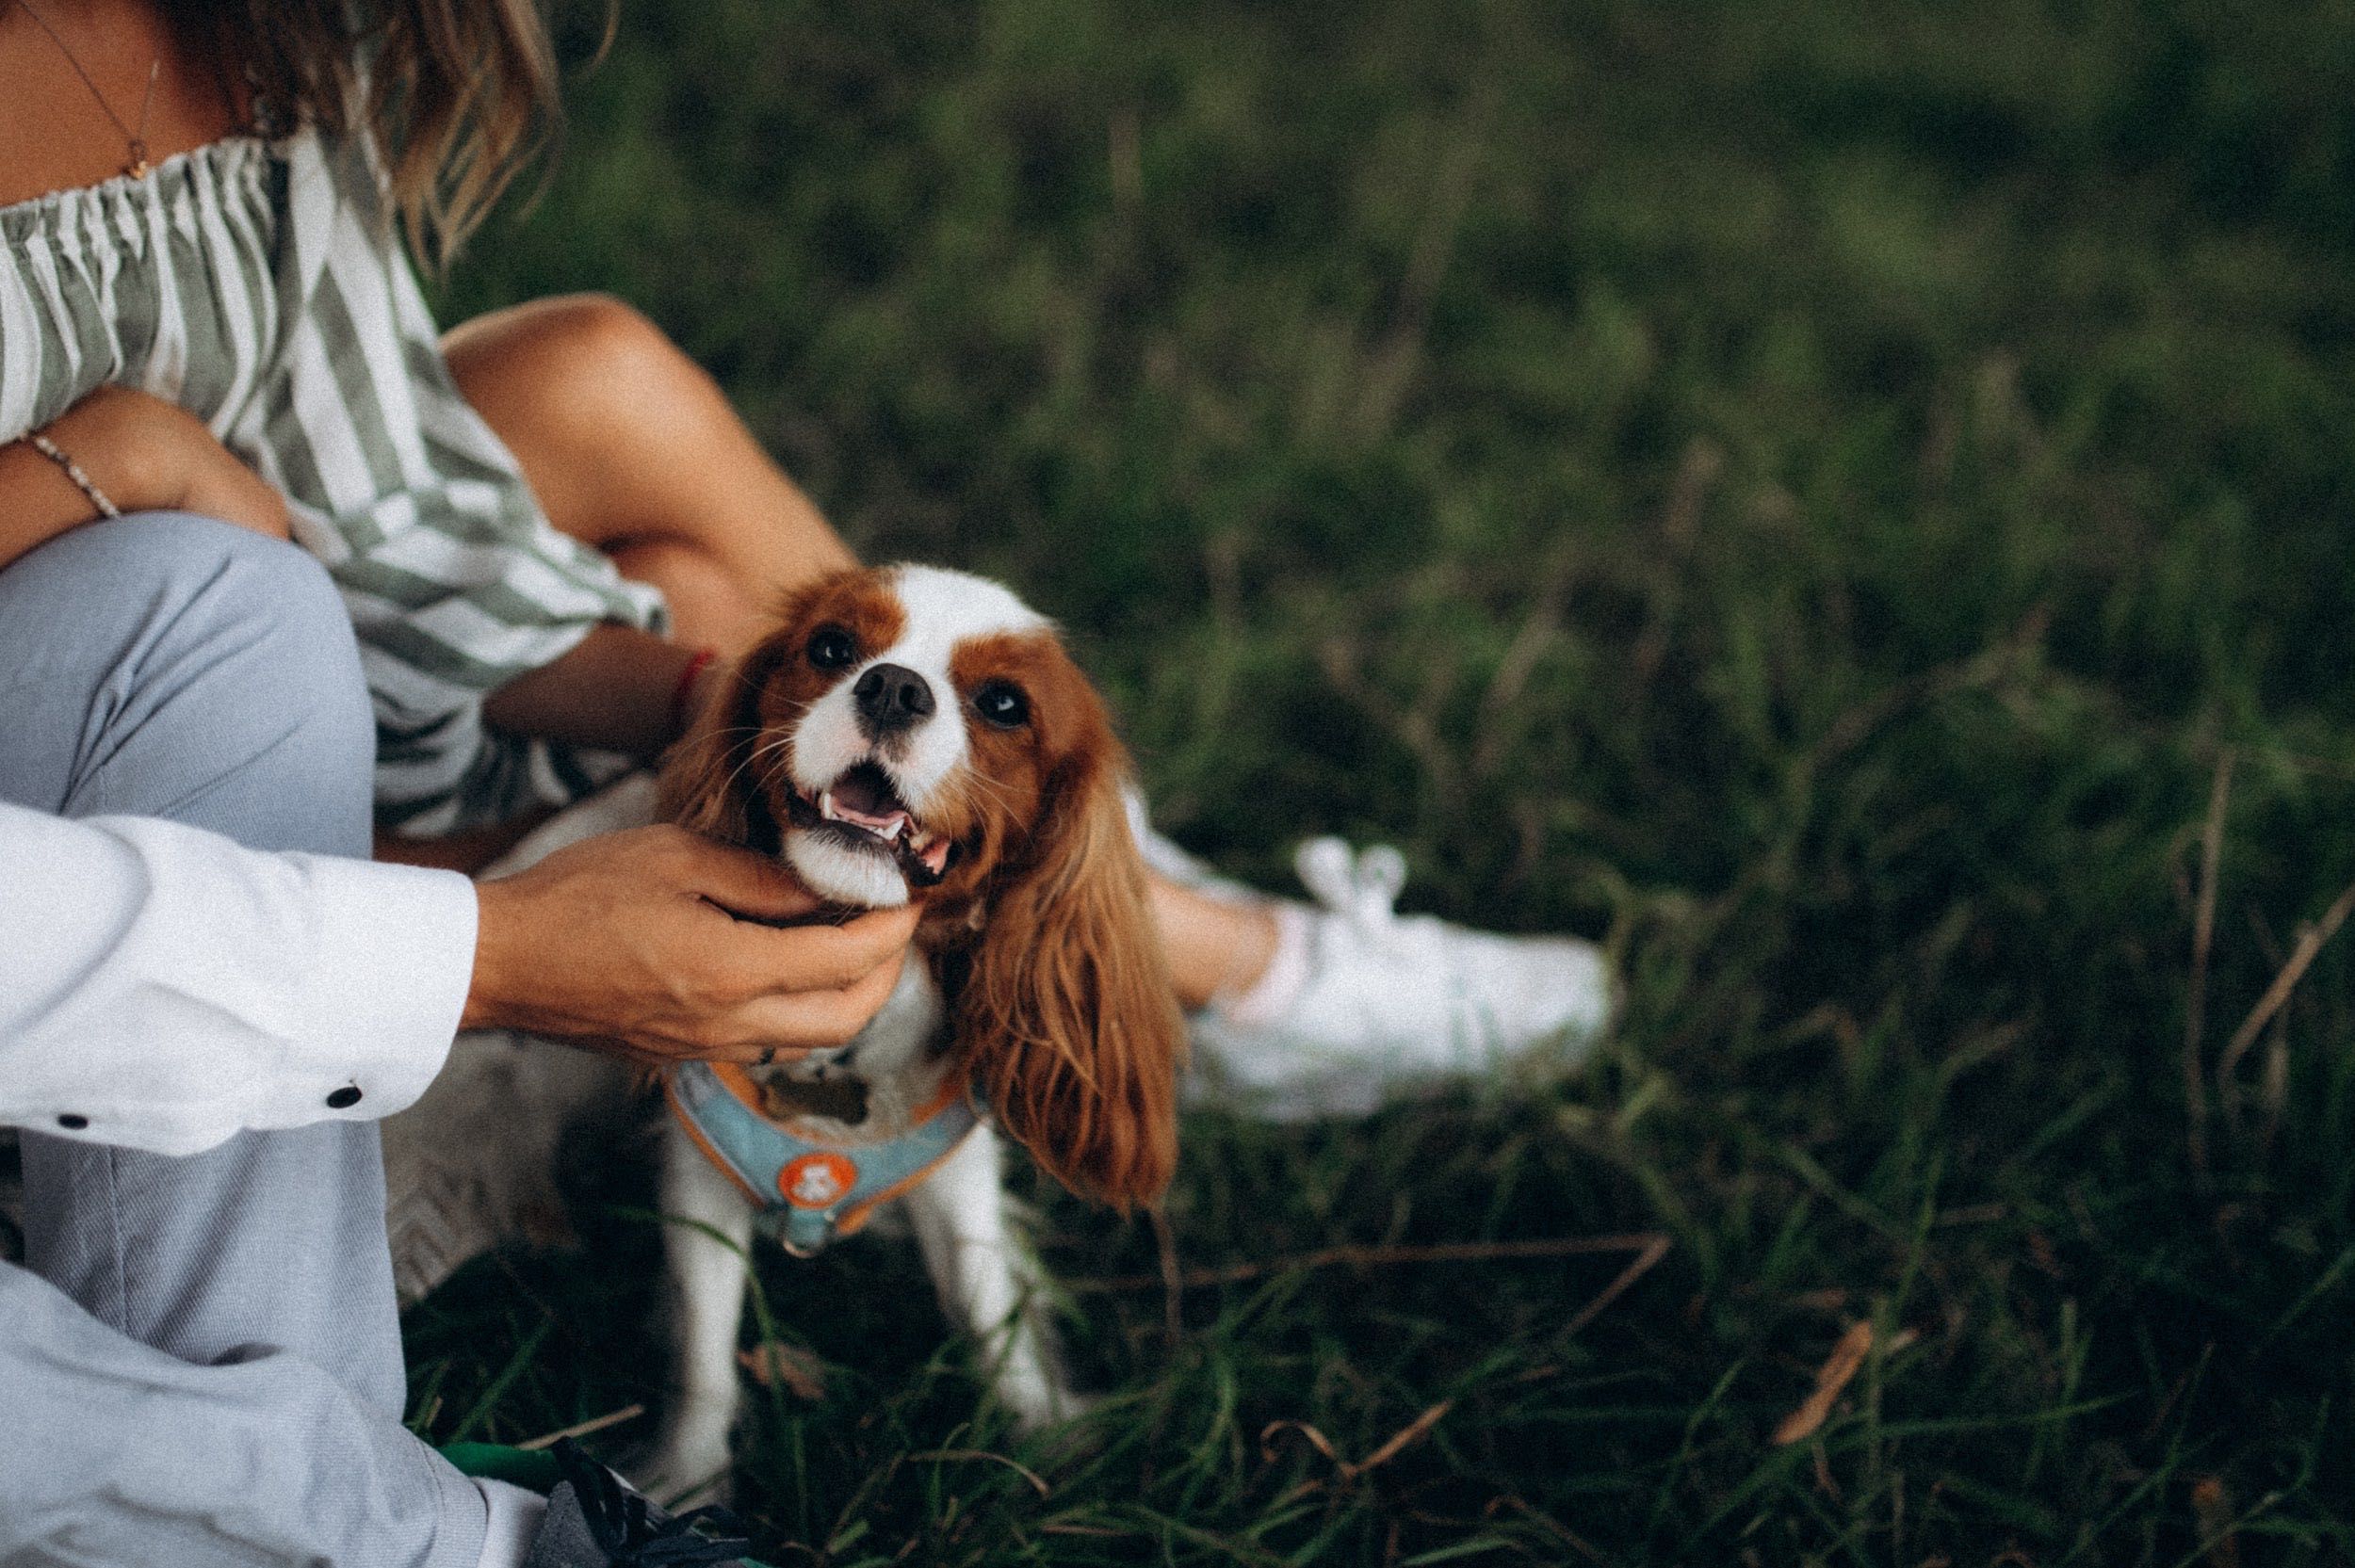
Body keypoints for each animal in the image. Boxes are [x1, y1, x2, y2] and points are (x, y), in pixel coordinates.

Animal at [393, 562, 1187, 1488]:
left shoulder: (957, 1177)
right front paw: (686, 1480)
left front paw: (1045, 1435)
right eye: (833, 648)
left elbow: (991, 1308)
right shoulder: (699, 1176)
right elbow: (705, 1350)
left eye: (1003, 703)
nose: (893, 687)